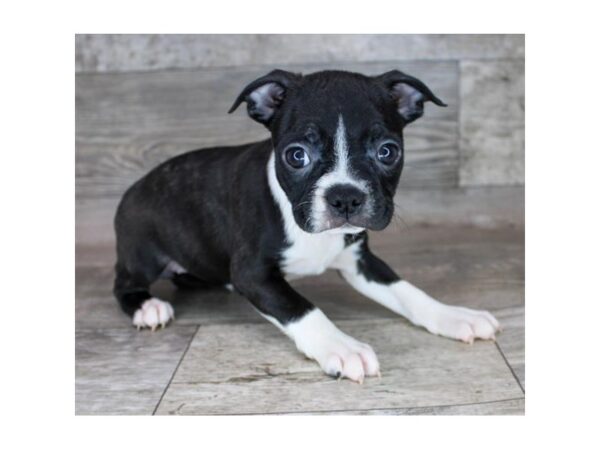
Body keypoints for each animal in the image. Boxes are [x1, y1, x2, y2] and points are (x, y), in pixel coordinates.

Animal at [113, 68, 502, 382]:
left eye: (387, 151)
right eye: (296, 155)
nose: (345, 196)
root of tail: (136, 186)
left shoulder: (361, 261)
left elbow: (407, 291)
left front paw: (452, 316)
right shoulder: (253, 273)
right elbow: (302, 308)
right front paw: (342, 347)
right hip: (142, 252)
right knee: (124, 283)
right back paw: (148, 307)